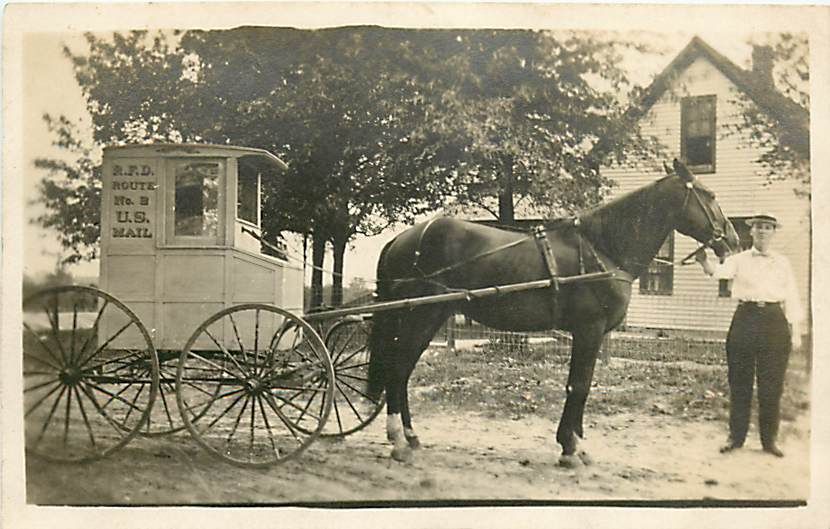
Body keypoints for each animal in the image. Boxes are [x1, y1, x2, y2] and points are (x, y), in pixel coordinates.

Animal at [368, 159, 744, 464]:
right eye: (709, 194)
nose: (734, 240)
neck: (602, 249)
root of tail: (403, 239)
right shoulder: (589, 330)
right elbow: (578, 386)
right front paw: (569, 449)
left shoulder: (587, 333)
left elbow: (580, 385)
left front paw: (575, 443)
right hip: (420, 316)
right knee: (398, 369)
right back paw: (398, 440)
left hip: (429, 316)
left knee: (402, 371)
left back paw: (411, 436)